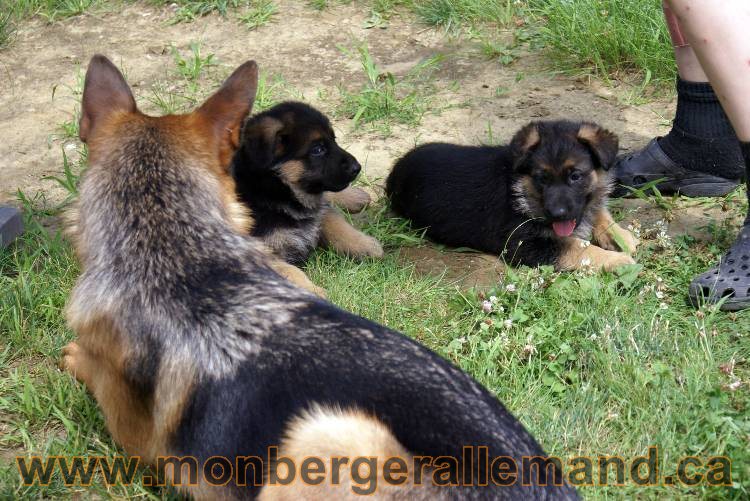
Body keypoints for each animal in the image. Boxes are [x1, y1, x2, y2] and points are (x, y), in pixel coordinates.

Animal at [388, 120, 640, 270]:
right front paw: (618, 261)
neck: (521, 189)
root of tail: (396, 168)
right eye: (542, 178)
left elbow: (597, 210)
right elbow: (578, 248)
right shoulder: (524, 243)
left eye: (575, 176)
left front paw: (620, 235)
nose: (557, 213)